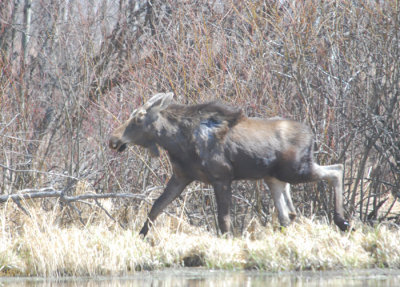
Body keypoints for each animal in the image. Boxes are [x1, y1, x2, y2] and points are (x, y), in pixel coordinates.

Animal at [109, 93, 350, 237]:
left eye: (139, 117)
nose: (113, 139)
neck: (174, 141)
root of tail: (312, 135)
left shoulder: (221, 177)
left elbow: (224, 220)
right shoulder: (181, 177)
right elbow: (156, 207)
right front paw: (140, 236)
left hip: (296, 169)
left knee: (337, 170)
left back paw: (342, 221)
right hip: (275, 178)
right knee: (287, 214)